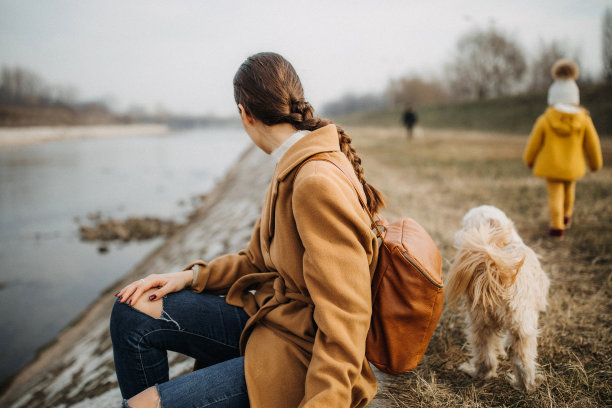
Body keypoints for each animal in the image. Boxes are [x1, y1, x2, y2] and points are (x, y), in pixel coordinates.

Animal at [444, 206, 548, 394]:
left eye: (465, 225)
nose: (458, 232)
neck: (502, 242)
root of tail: (498, 274)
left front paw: (500, 351)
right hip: (523, 330)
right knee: (522, 362)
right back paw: (527, 385)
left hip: (481, 324)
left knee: (489, 357)